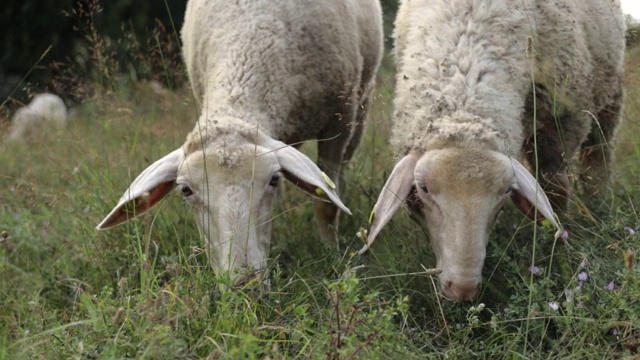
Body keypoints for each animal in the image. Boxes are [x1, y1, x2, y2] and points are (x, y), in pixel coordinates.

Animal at [97, 0, 382, 282]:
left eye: (273, 179)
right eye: (186, 190)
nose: (246, 283)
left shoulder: (340, 120)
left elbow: (326, 203)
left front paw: (331, 252)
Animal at [358, 0, 624, 302]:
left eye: (507, 191)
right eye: (423, 188)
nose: (462, 289)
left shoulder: (560, 122)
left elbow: (555, 189)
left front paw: (555, 248)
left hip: (609, 97)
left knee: (598, 155)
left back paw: (597, 203)